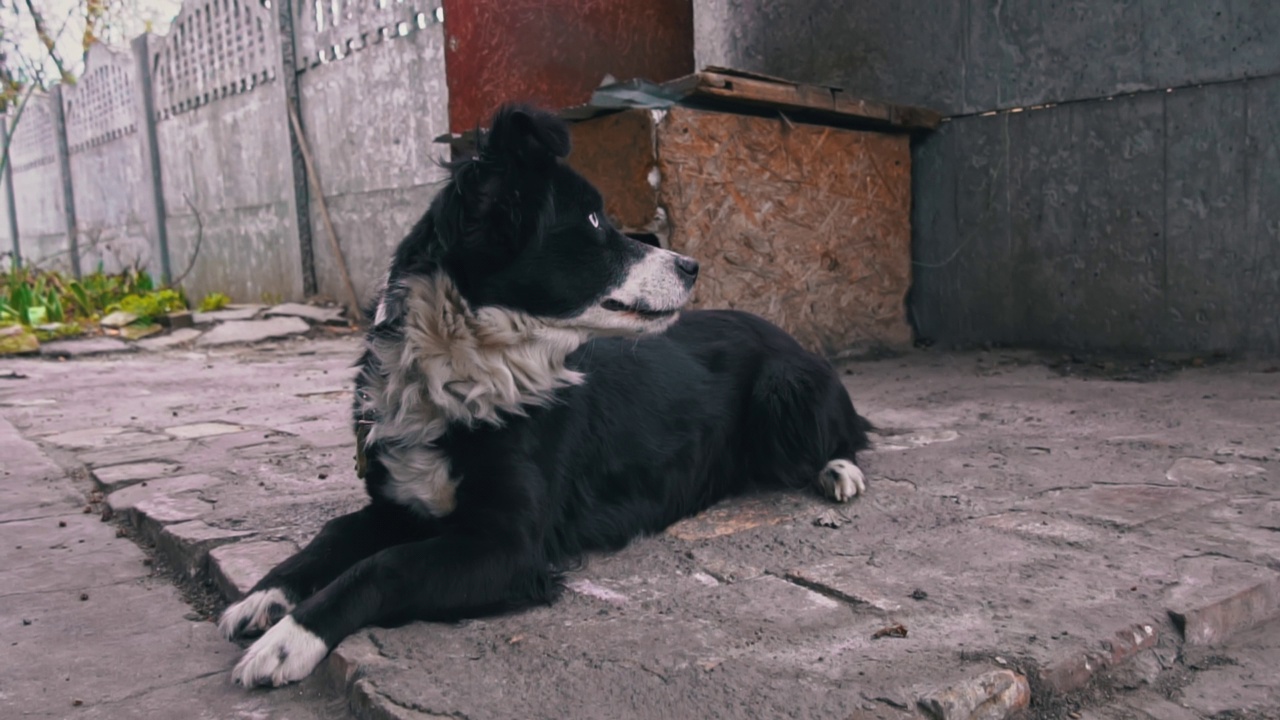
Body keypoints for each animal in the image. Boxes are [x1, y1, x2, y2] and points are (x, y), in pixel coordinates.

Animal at [225, 102, 875, 681]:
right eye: (592, 223)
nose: (693, 265)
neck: (464, 371)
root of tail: (786, 333)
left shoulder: (508, 547)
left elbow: (382, 567)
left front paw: (290, 641)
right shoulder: (403, 504)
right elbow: (334, 534)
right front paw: (265, 595)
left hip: (785, 391)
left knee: (849, 435)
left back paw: (838, 471)